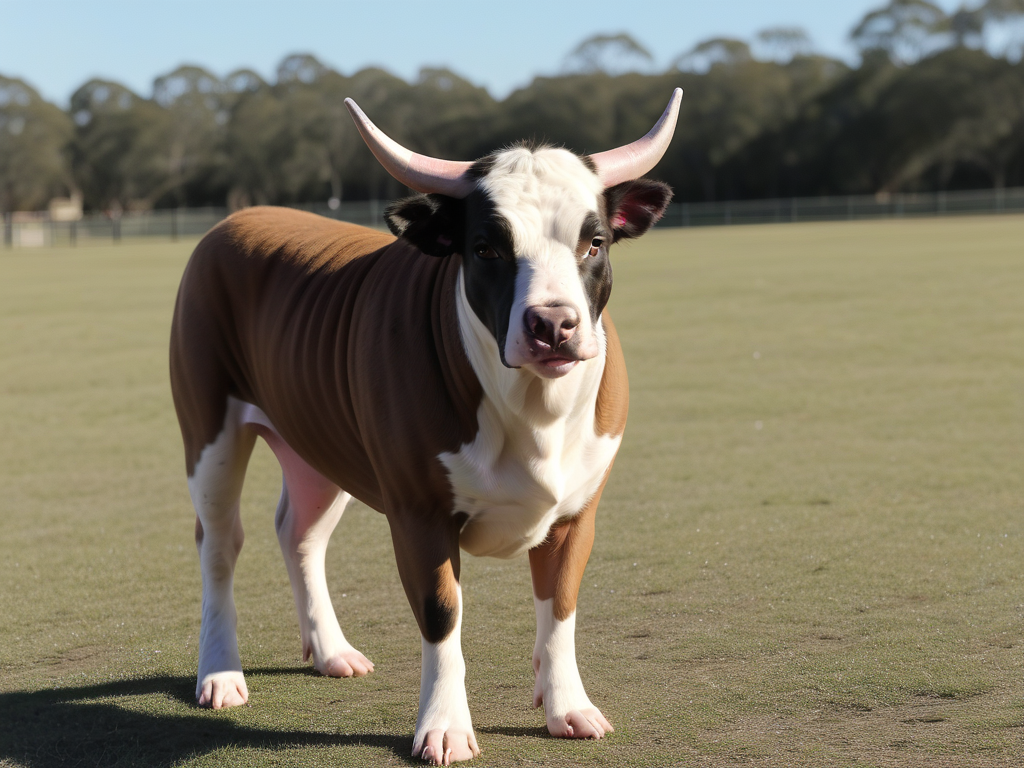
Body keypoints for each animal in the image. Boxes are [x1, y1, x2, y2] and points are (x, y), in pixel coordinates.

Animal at [169, 88, 681, 765]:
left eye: (594, 242)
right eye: (486, 247)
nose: (553, 324)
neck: (532, 411)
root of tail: (239, 221)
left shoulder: (577, 515)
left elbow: (561, 606)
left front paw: (567, 705)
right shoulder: (418, 513)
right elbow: (442, 612)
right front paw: (444, 725)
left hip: (318, 444)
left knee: (299, 533)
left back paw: (330, 651)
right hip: (210, 434)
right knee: (220, 545)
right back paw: (221, 673)